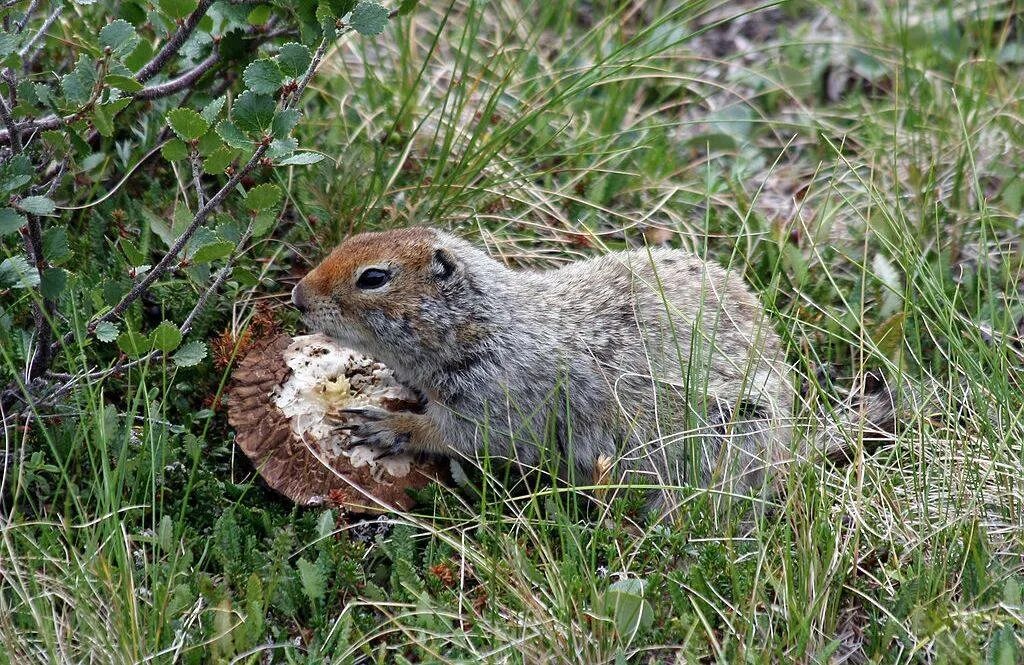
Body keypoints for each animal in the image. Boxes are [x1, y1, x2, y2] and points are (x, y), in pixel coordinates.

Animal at [292, 225, 794, 510]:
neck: (484, 324)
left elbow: (459, 435)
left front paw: (384, 425)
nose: (297, 296)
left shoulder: (497, 399)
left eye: (374, 277)